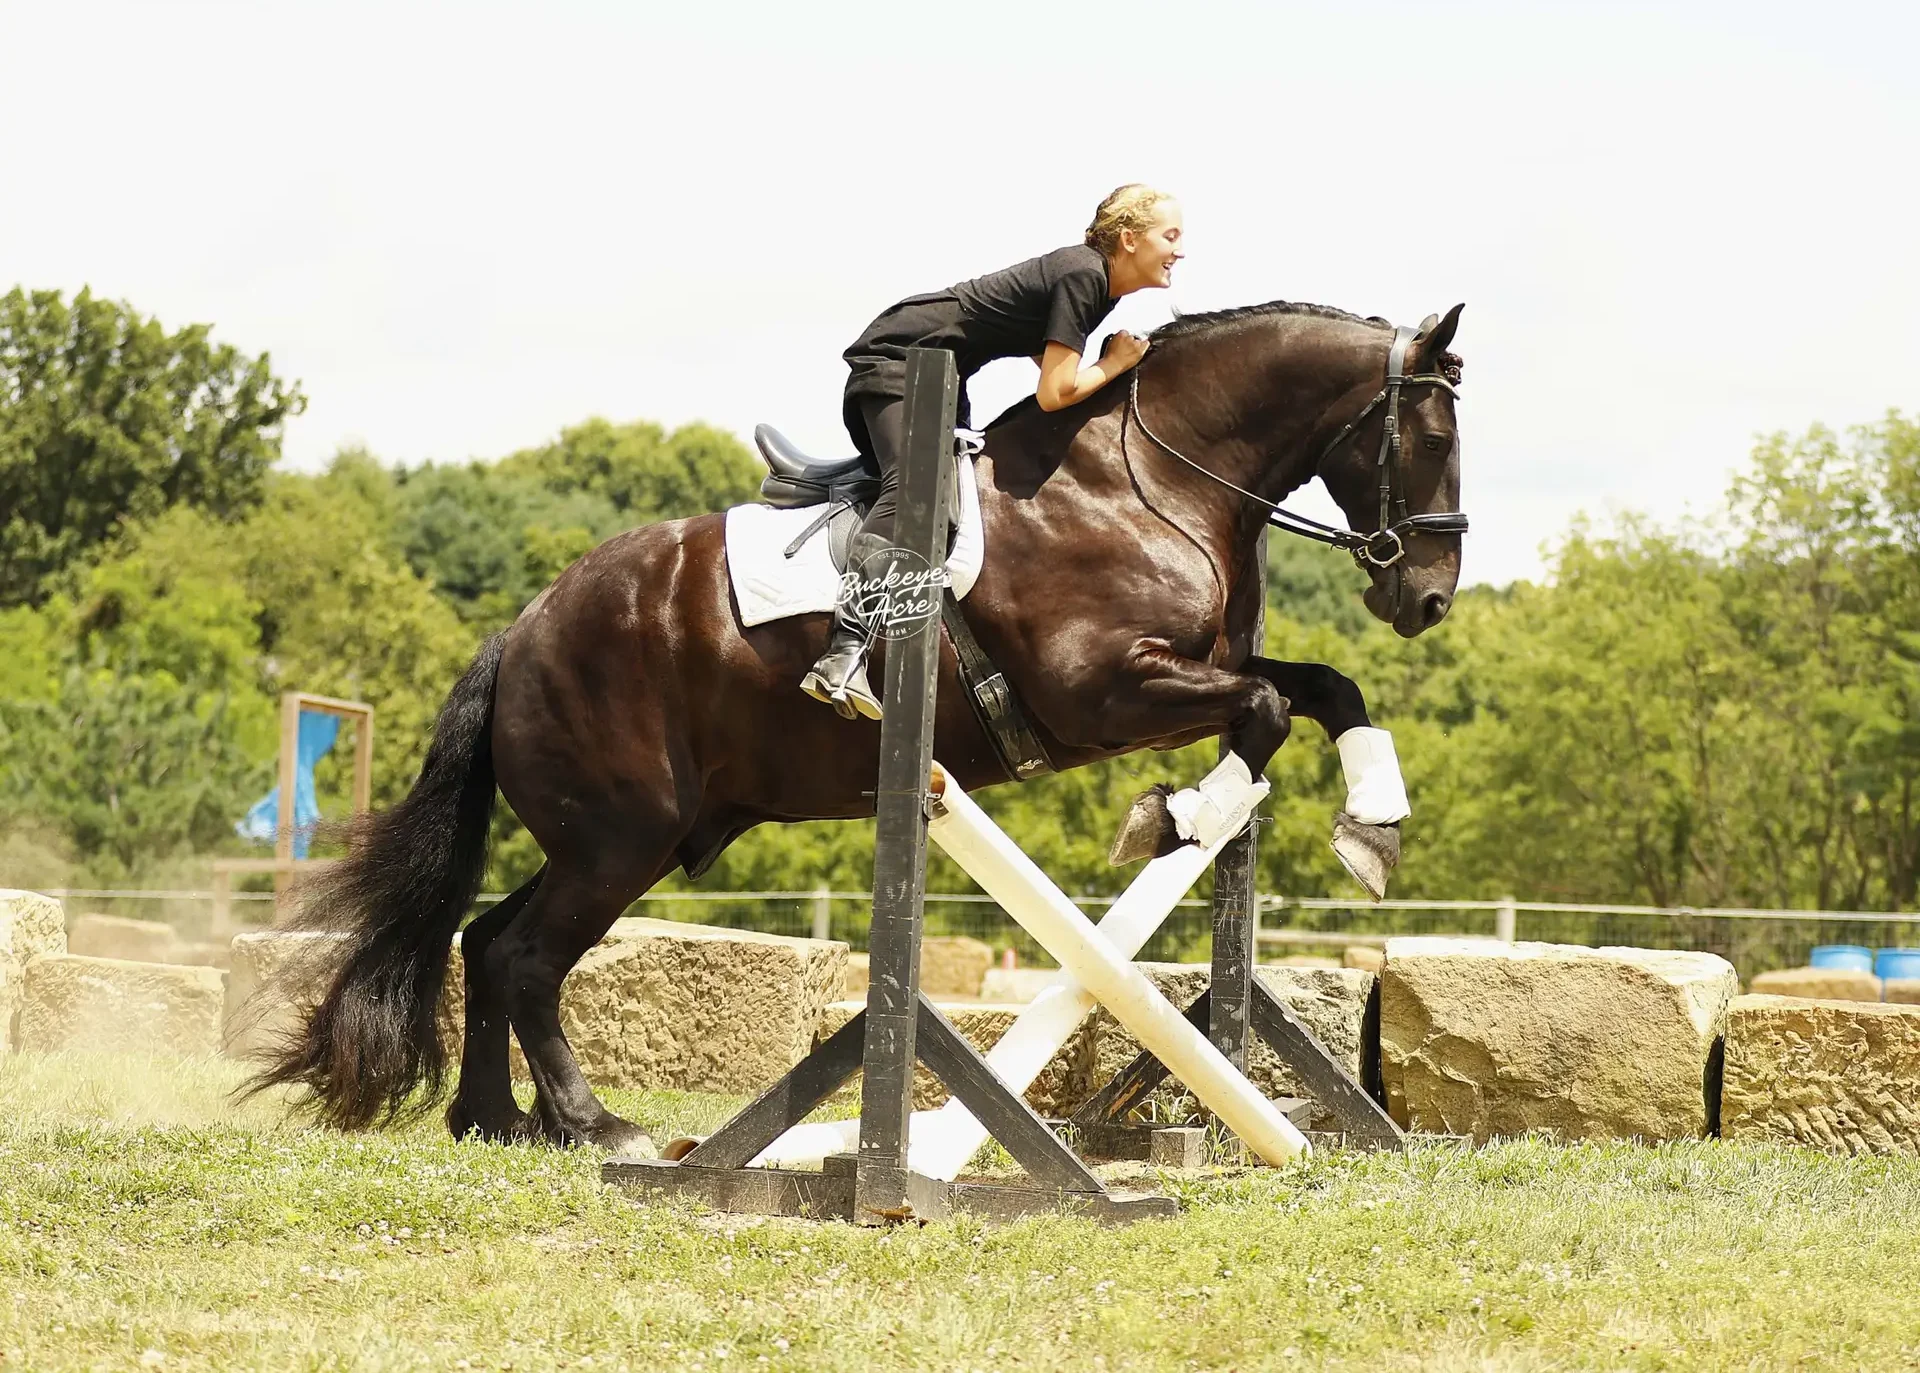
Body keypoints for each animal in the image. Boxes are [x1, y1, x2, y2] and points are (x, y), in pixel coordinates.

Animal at [252, 300, 1468, 1156]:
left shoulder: (1192, 669)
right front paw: (1176, 815)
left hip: (608, 836)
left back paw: (499, 1121)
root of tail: (525, 626)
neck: (1148, 476)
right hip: (621, 834)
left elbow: (1325, 689)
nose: (1429, 598)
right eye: (1429, 433)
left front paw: (1372, 825)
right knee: (523, 954)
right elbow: (1261, 710)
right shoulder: (1102, 692)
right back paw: (597, 1123)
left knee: (485, 939)